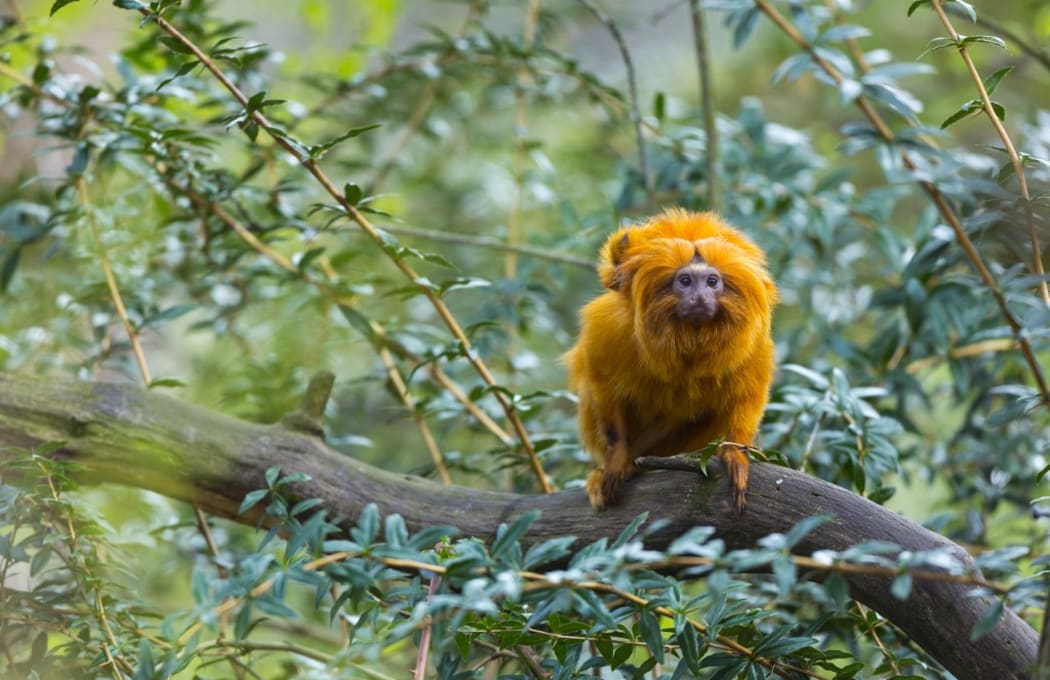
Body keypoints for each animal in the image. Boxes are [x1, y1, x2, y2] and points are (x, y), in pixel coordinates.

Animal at [567, 209, 781, 512]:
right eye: (685, 281)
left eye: (712, 282)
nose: (700, 297)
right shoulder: (610, 331)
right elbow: (603, 388)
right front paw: (617, 460)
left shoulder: (752, 345)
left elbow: (748, 395)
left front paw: (735, 455)